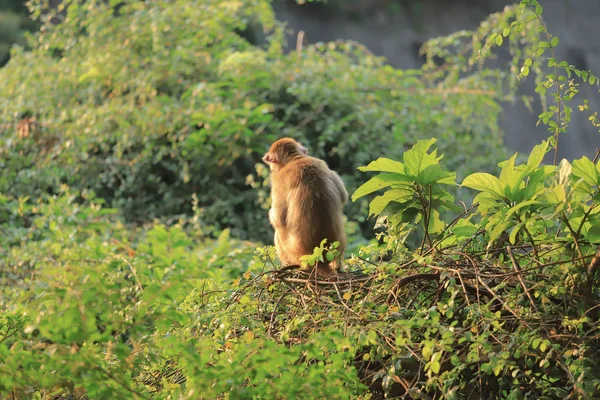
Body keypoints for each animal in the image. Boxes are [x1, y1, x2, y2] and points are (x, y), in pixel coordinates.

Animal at [262, 139, 350, 276]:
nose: (272, 169)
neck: (295, 159)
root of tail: (319, 260)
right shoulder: (321, 162)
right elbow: (344, 197)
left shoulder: (277, 180)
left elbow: (278, 219)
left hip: (294, 255)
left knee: (279, 231)